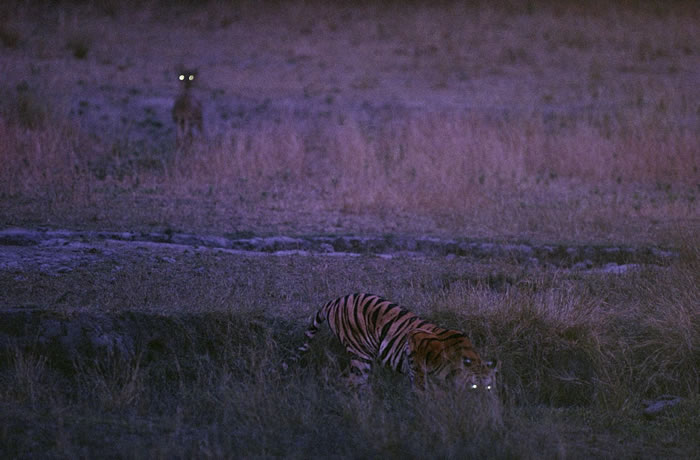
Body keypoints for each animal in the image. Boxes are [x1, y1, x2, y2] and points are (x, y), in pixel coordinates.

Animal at [294, 293, 498, 390]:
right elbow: (420, 385)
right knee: (351, 382)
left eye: (488, 387)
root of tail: (335, 300)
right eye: (474, 385)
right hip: (361, 356)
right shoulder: (416, 341)